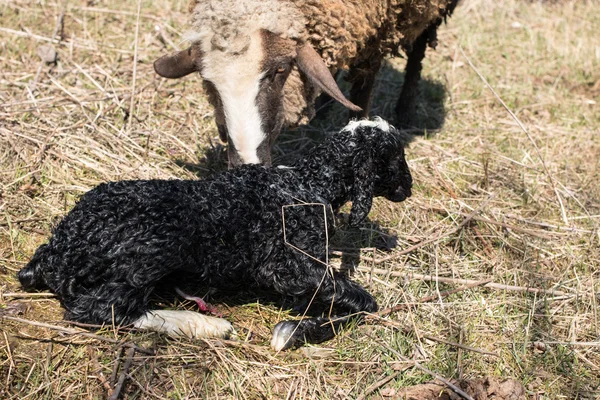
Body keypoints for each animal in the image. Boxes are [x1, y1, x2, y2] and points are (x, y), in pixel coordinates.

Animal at [18, 118, 412, 350]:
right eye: (395, 157)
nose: (408, 188)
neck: (309, 184)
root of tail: (60, 249)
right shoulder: (287, 266)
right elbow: (363, 302)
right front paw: (290, 334)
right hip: (149, 250)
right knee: (102, 309)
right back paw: (204, 324)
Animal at [155, 0, 460, 166]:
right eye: (209, 82)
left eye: (279, 70)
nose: (248, 164)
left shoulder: (377, 33)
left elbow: (362, 95)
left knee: (419, 48)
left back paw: (406, 111)